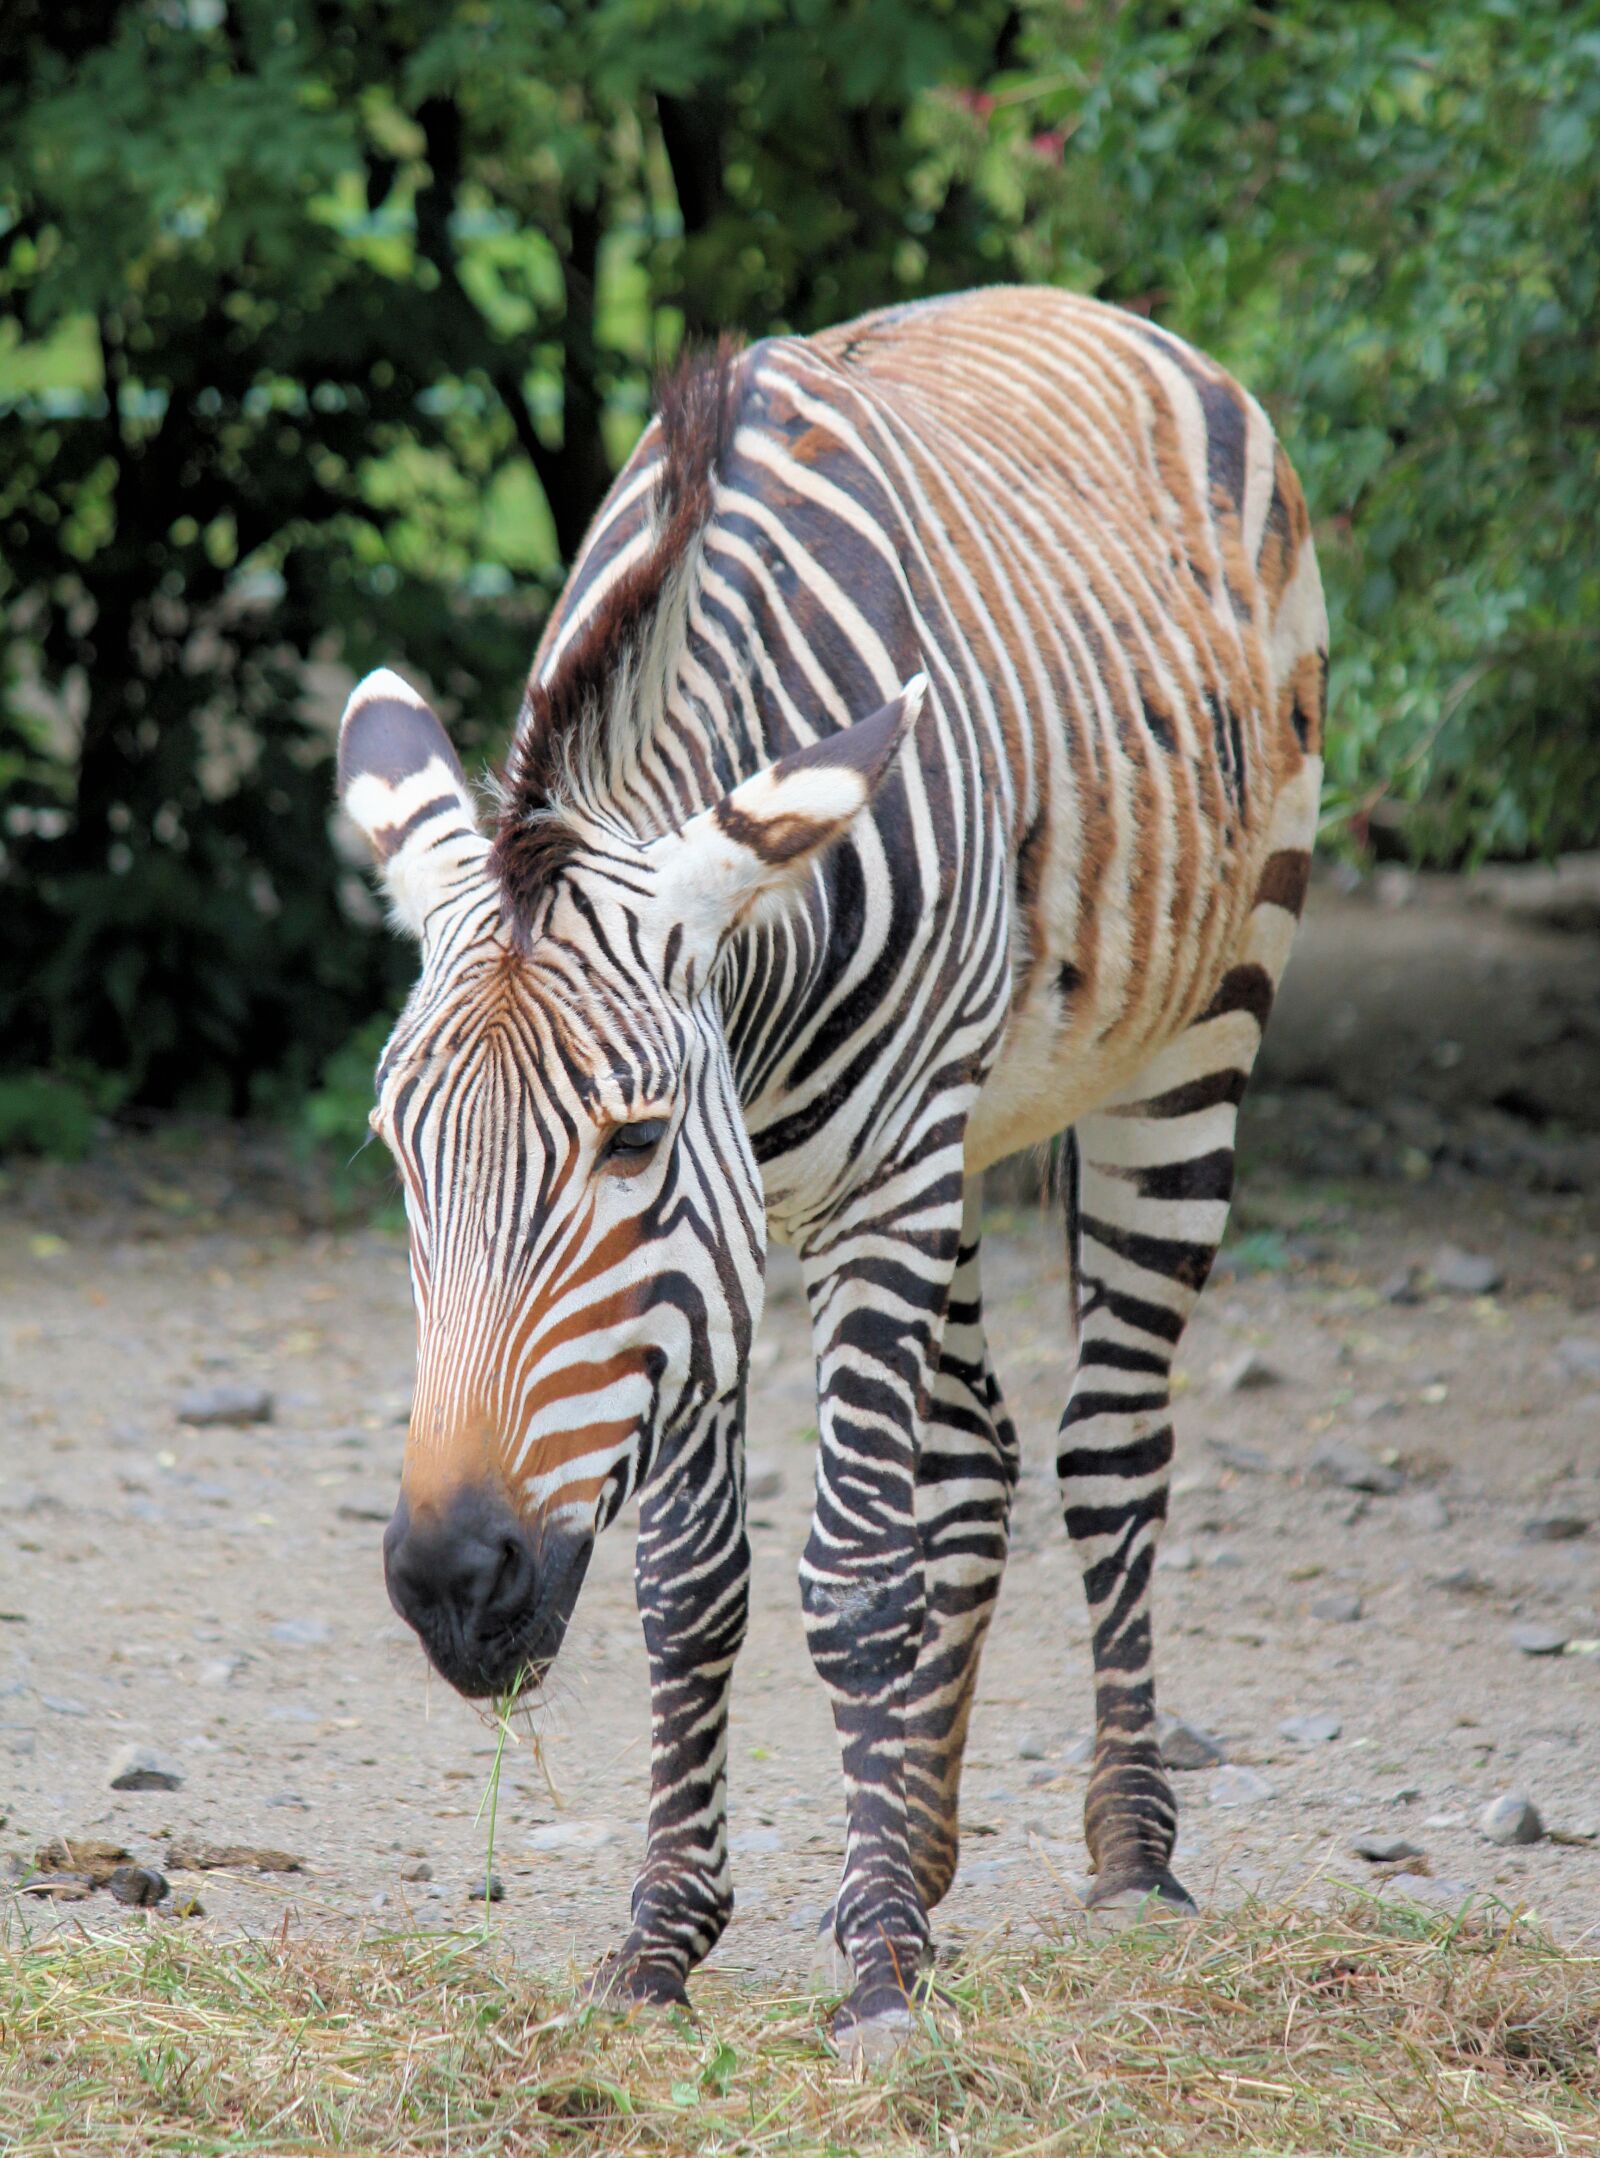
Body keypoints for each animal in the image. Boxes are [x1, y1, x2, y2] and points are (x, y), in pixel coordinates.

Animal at [335, 285, 1326, 2052]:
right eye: (399, 1154)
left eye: (632, 1138)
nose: (454, 1582)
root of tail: (1074, 302)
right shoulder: (719, 1258)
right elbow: (691, 1588)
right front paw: (667, 1936)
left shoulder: (856, 1188)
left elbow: (857, 1576)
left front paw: (876, 1976)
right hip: (960, 1131)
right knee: (978, 1458)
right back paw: (921, 1850)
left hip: (1189, 1033)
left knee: (1109, 1447)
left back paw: (1130, 1857)